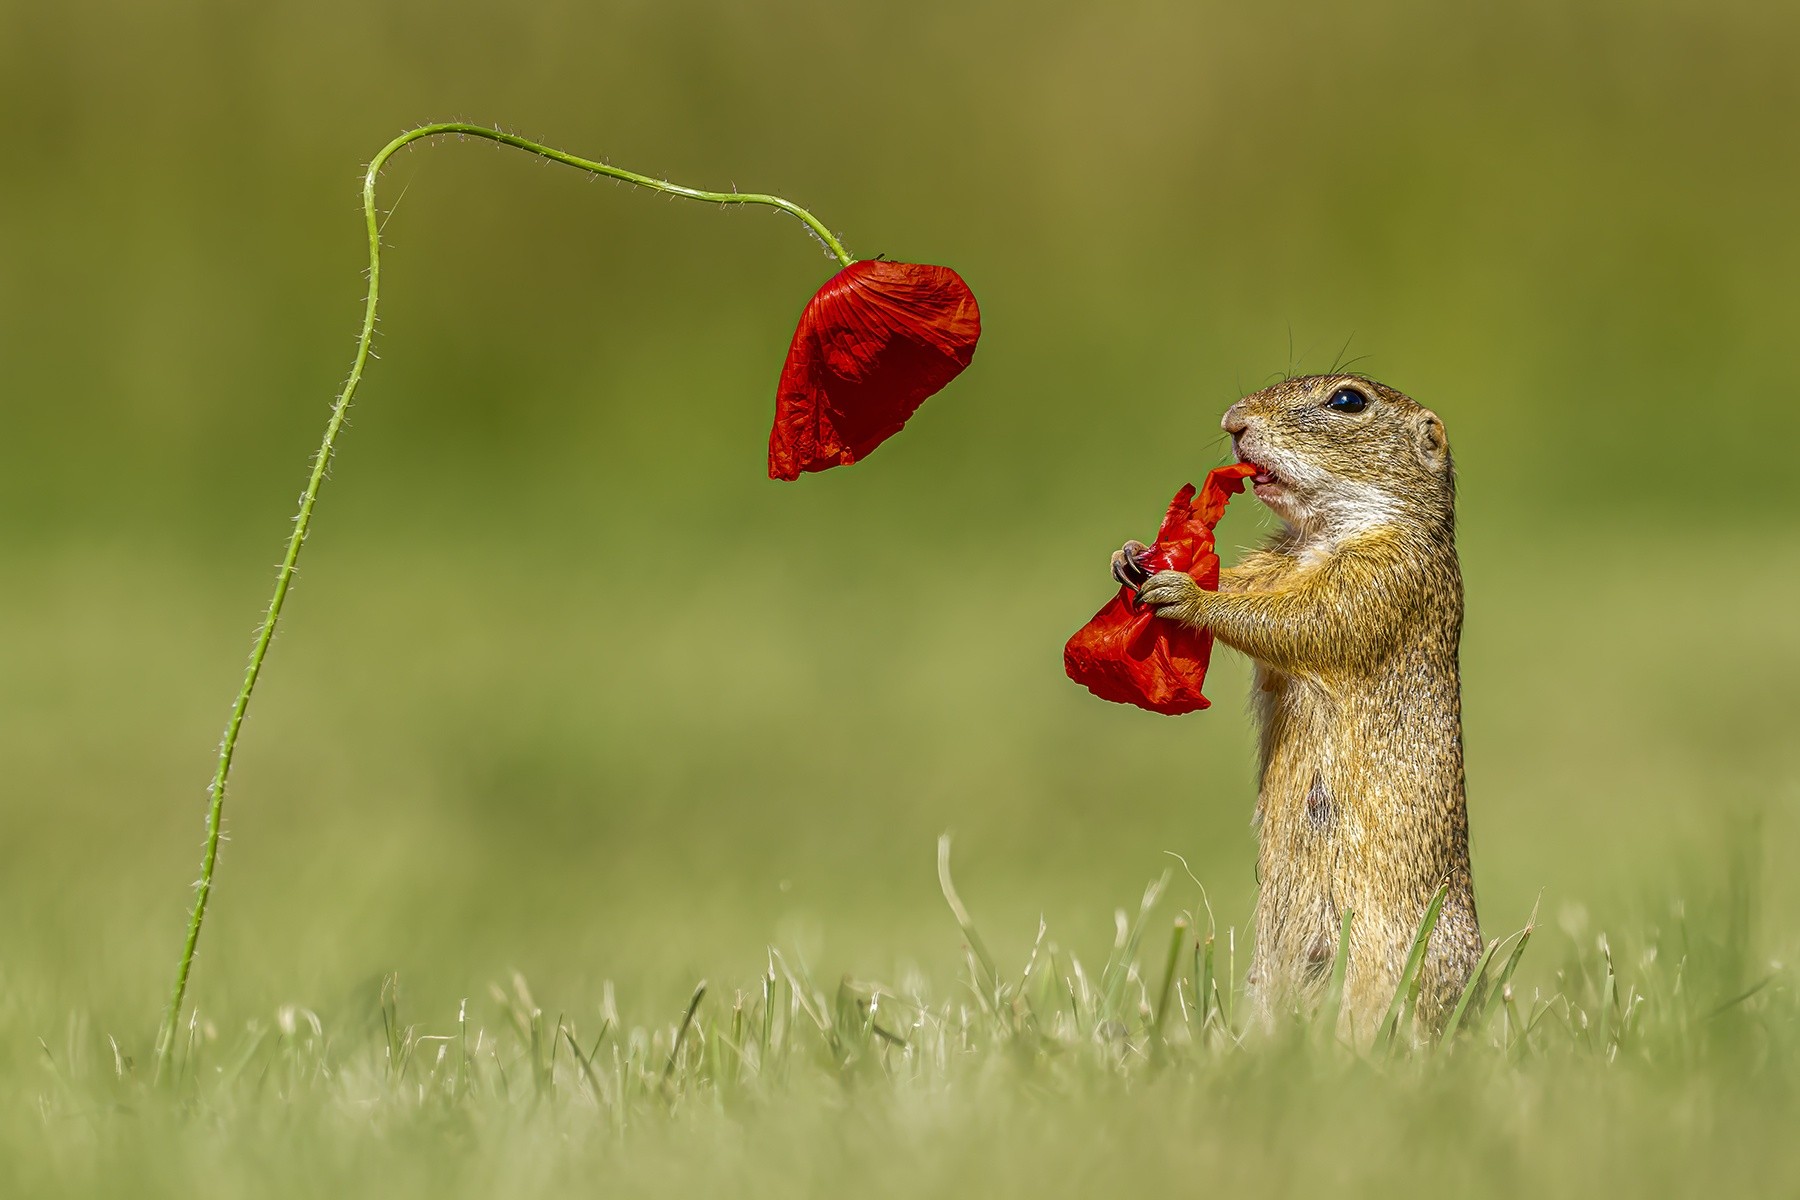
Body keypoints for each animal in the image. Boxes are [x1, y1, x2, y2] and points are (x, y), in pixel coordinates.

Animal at [1116, 376, 1483, 1043]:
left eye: (1348, 400)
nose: (1233, 420)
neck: (1325, 534)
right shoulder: (1274, 562)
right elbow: (1248, 587)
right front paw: (1133, 553)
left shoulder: (1383, 579)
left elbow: (1294, 619)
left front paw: (1187, 594)